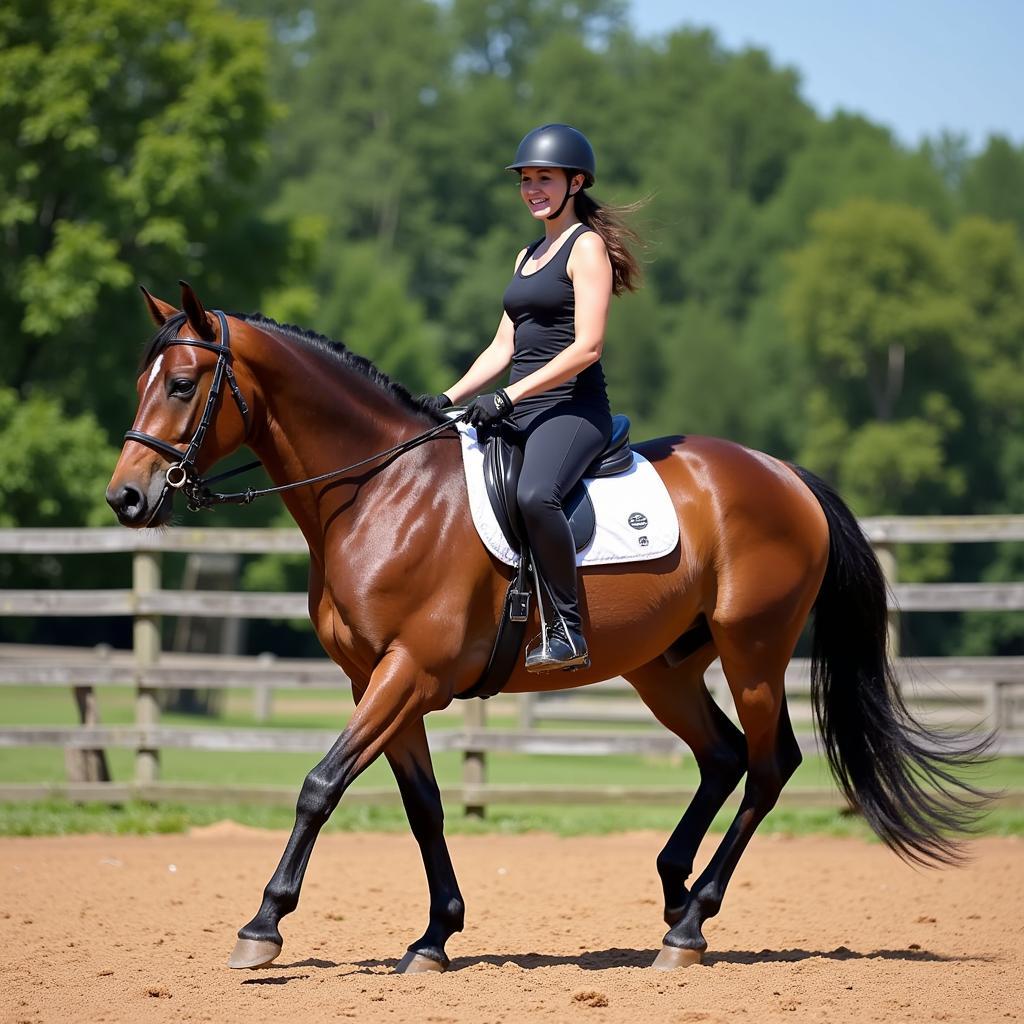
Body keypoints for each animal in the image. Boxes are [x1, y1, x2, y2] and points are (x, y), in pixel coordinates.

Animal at [103, 282, 983, 974]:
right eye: (141, 381)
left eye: (181, 384)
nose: (126, 499)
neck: (381, 491)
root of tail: (784, 475)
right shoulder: (379, 681)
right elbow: (423, 807)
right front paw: (434, 937)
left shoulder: (408, 672)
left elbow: (320, 785)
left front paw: (263, 926)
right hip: (663, 667)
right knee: (724, 757)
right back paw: (674, 893)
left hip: (755, 650)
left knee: (768, 767)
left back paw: (692, 922)